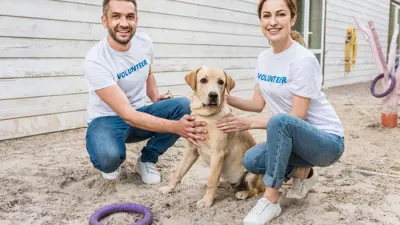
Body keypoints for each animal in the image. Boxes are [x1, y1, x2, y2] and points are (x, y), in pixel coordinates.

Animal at [159, 66, 266, 207]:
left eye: (221, 82)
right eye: (203, 80)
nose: (214, 95)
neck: (205, 116)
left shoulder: (218, 153)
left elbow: (212, 180)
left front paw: (206, 201)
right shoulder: (191, 150)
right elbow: (178, 172)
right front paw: (168, 188)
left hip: (251, 174)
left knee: (257, 190)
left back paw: (243, 193)